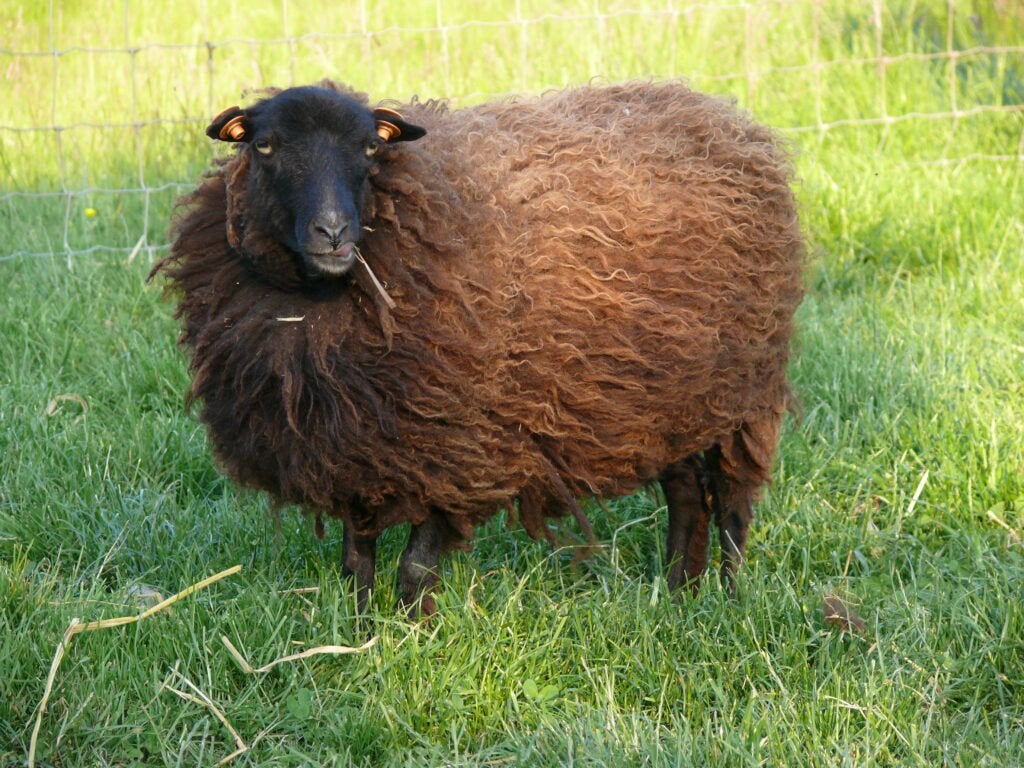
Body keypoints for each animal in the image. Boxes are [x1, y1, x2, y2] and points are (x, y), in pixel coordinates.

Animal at [152, 80, 804, 615]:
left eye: (370, 150)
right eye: (264, 146)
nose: (333, 232)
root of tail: (727, 117)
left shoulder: (460, 449)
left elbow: (415, 566)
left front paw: (411, 641)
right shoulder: (357, 443)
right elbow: (356, 561)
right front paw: (362, 635)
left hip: (741, 390)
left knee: (733, 500)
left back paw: (727, 597)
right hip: (669, 395)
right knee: (686, 491)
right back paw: (677, 592)